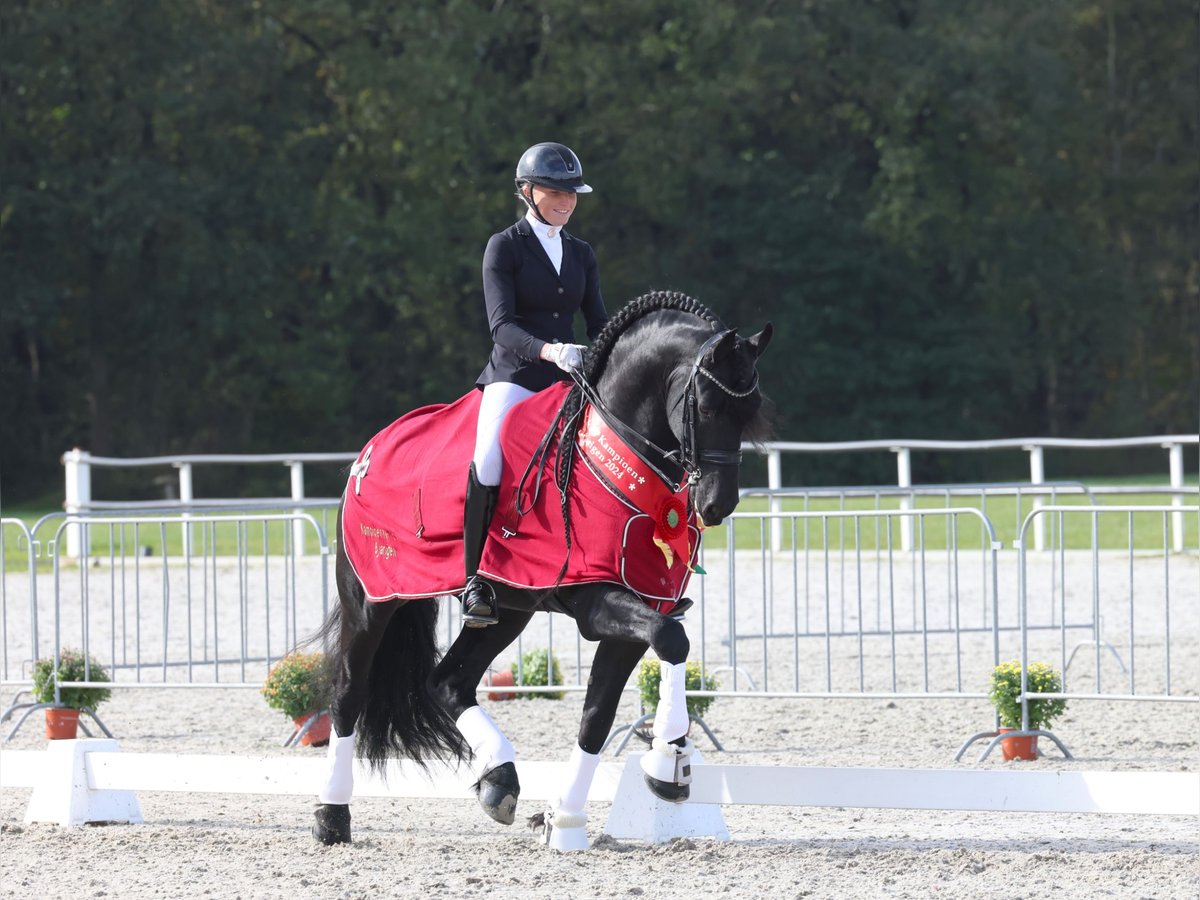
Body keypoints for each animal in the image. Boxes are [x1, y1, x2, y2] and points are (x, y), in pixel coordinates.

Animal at [314, 292, 772, 849]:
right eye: (705, 407)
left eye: (751, 410)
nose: (717, 505)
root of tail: (368, 452)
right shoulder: (597, 600)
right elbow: (670, 639)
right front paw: (667, 761)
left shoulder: (638, 609)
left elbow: (601, 712)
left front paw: (568, 818)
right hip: (371, 601)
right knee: (349, 695)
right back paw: (332, 815)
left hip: (508, 607)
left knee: (447, 682)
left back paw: (500, 782)